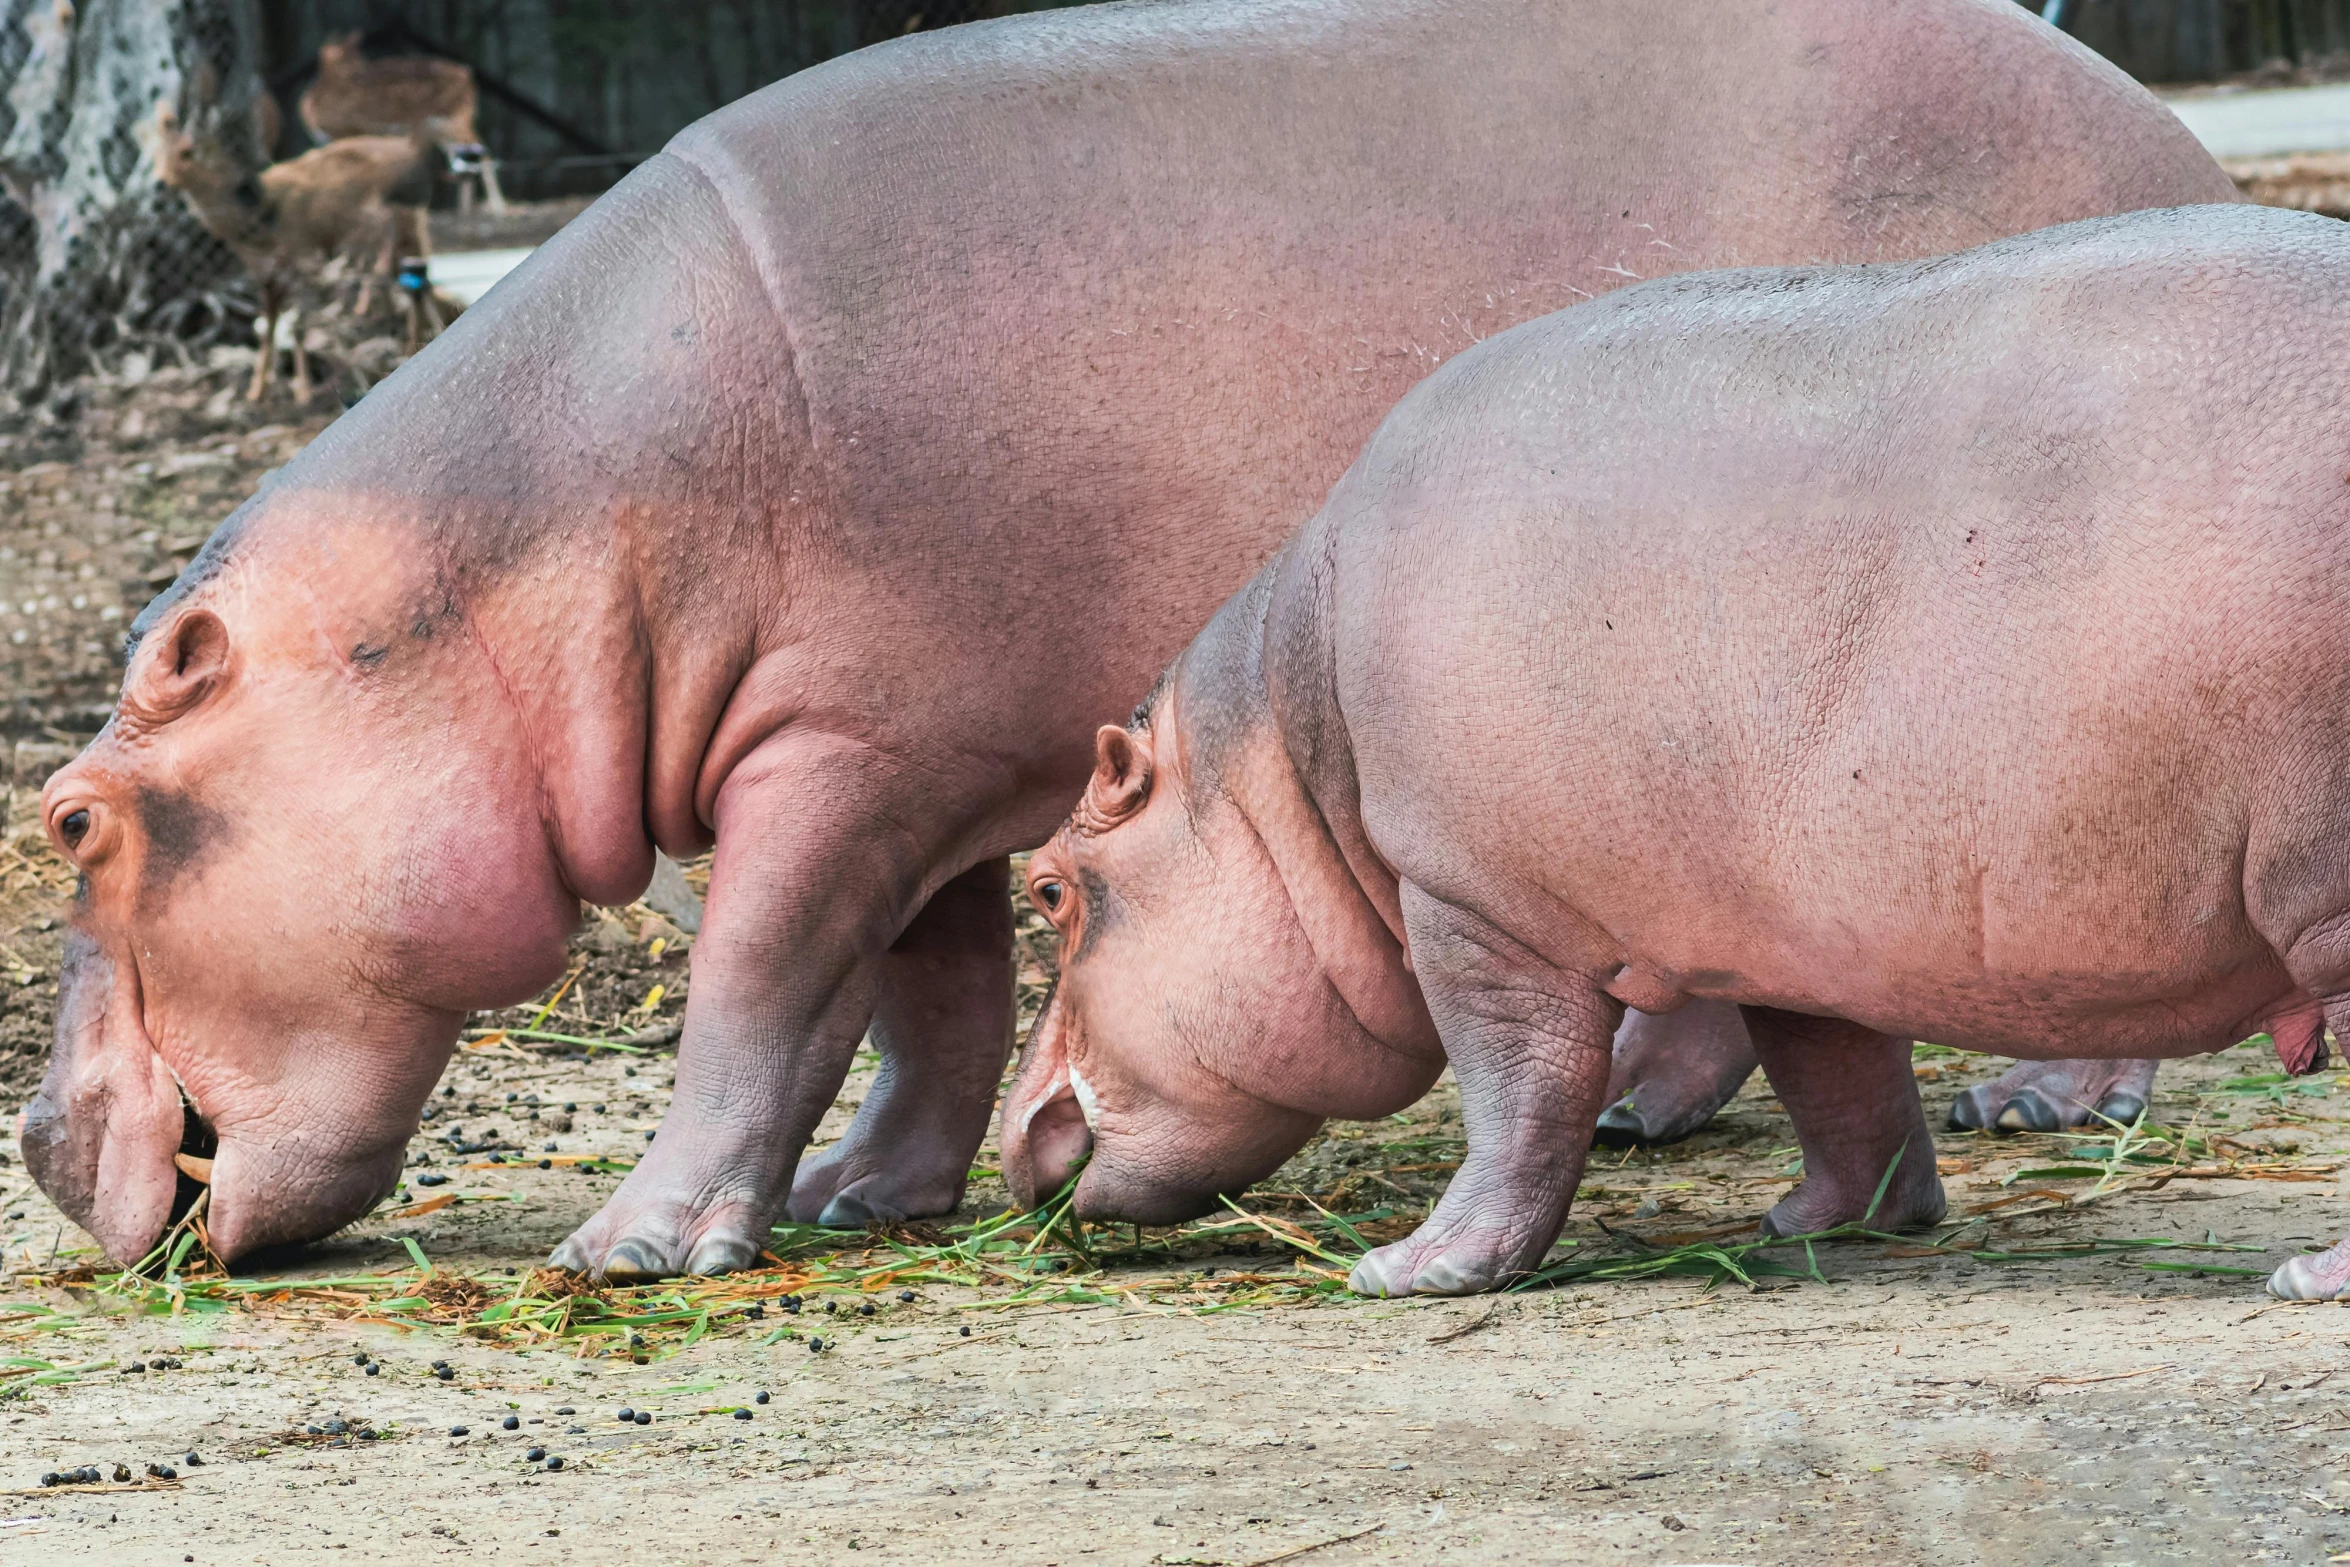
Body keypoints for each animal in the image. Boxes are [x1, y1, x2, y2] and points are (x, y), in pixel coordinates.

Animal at [152, 102, 437, 399]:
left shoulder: (300, 258)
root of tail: (411, 147)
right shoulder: (266, 274)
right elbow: (268, 328)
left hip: (399, 218)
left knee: (401, 262)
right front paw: (256, 391)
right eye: (155, 154)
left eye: (187, 152)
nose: (158, 184)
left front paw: (303, 392)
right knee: (414, 275)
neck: (255, 222)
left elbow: (297, 326)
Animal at [300, 35, 502, 212]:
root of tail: (469, 77)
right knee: (467, 153)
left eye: (358, 62)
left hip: (446, 119)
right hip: (445, 124)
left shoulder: (350, 131)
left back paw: (496, 206)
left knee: (478, 150)